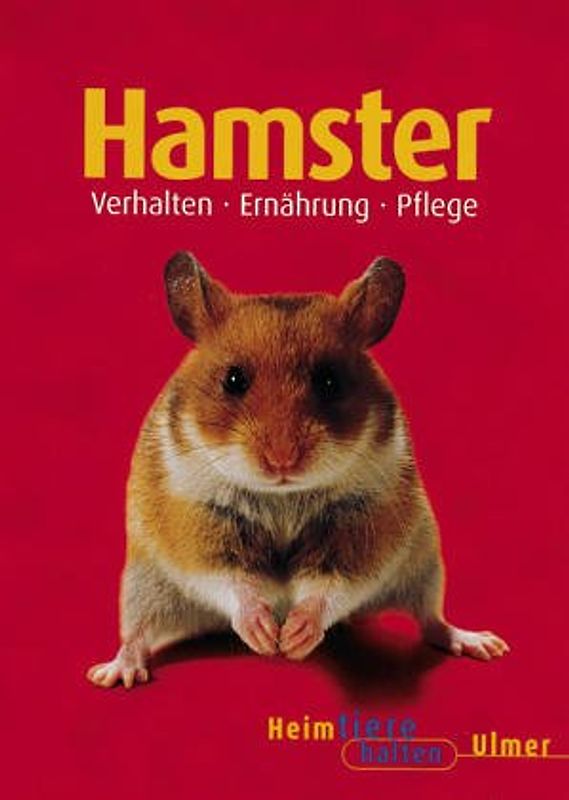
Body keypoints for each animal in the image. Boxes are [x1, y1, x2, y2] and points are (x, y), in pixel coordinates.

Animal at [87, 252, 509, 688]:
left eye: (330, 381)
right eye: (233, 380)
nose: (282, 461)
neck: (283, 495)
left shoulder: (364, 524)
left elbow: (331, 585)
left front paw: (292, 640)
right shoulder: (195, 523)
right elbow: (231, 578)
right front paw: (265, 636)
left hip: (424, 564)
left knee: (431, 619)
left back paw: (484, 644)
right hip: (143, 584)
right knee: (138, 632)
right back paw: (113, 675)